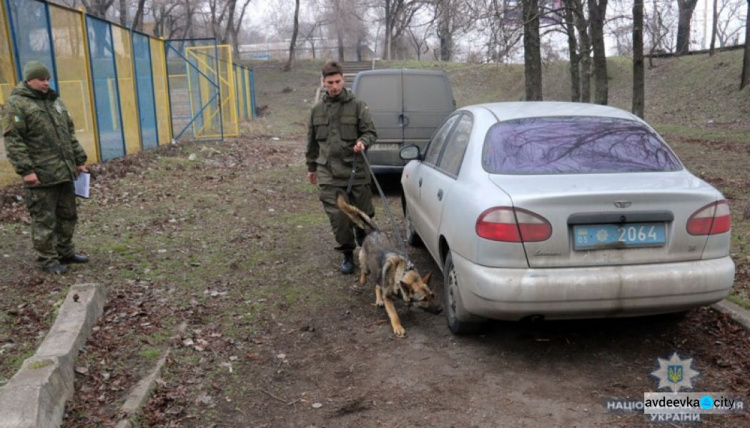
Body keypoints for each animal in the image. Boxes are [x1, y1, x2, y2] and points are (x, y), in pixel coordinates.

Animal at [334, 191, 440, 338]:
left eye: (432, 295)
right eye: (424, 299)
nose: (441, 310)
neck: (403, 273)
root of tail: (374, 231)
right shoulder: (388, 298)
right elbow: (394, 314)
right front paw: (398, 327)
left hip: (379, 272)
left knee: (378, 285)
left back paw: (378, 299)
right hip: (367, 267)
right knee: (365, 273)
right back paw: (363, 281)